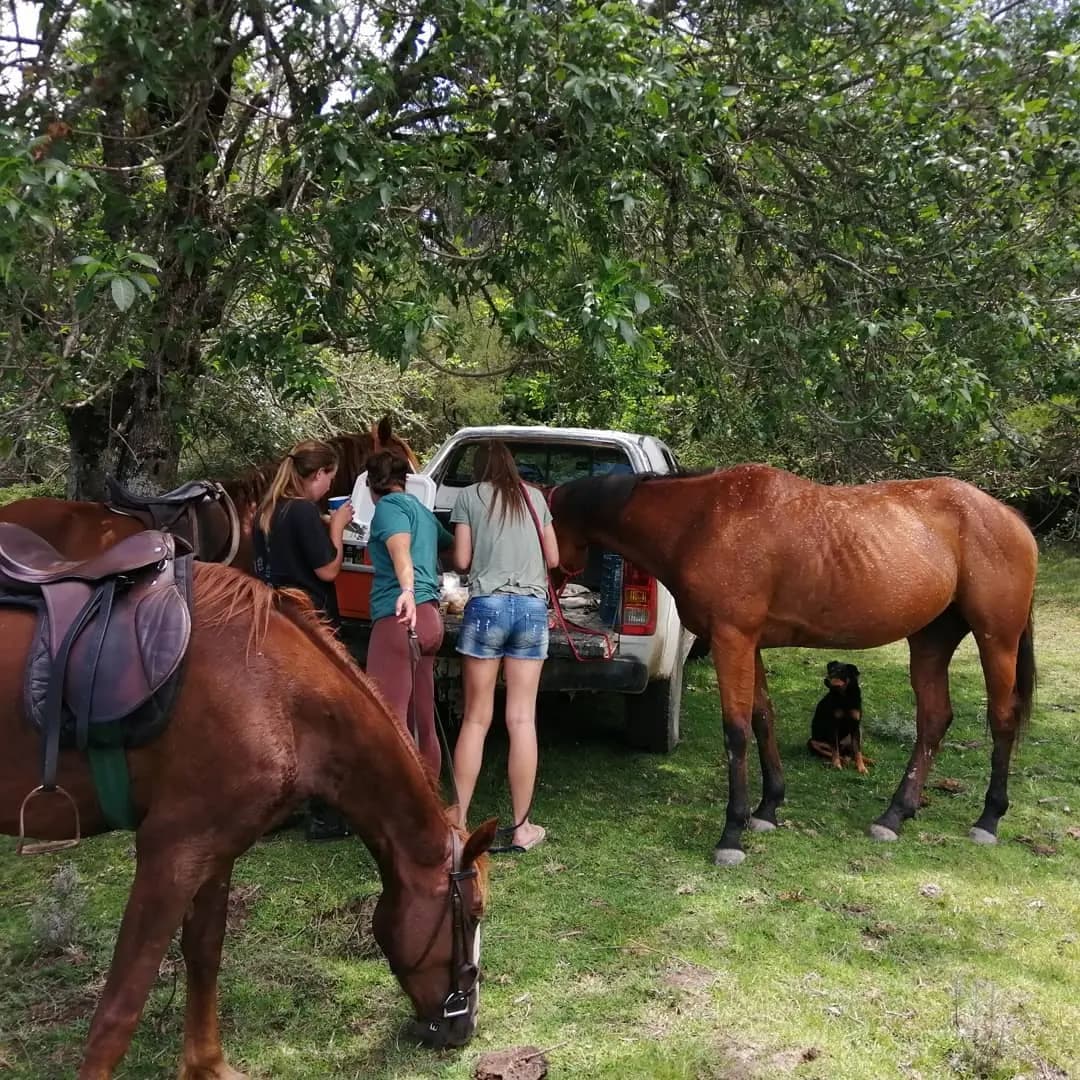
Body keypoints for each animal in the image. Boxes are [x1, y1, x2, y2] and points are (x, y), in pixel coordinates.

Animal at [1, 559, 495, 1078]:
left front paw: (207, 1064)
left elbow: (204, 954)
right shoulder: (170, 852)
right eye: (474, 913)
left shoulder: (213, 848)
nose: (465, 1025)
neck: (275, 692)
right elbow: (120, 1008)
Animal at [549, 464, 1038, 866]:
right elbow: (763, 718)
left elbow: (736, 730)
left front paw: (732, 834)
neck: (703, 522)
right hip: (932, 640)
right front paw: (767, 808)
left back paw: (988, 818)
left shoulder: (732, 639)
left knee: (1002, 719)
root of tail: (1011, 518)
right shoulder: (748, 644)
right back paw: (895, 814)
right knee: (934, 719)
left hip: (997, 640)